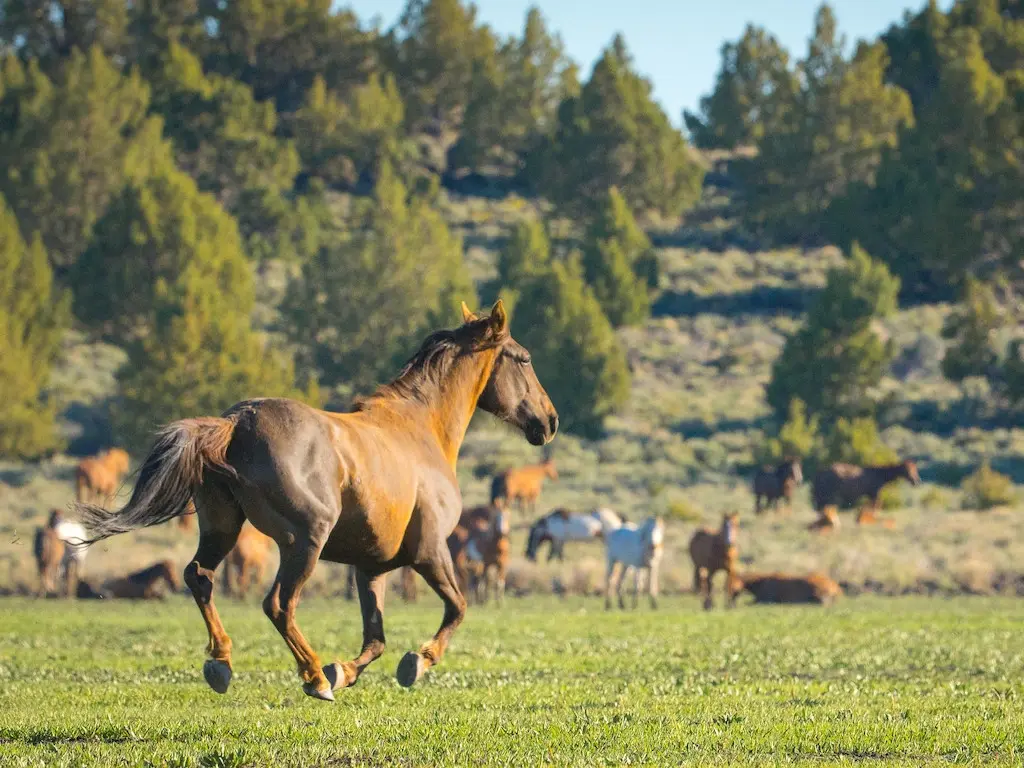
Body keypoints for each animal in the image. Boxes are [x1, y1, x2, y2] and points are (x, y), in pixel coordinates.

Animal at [77, 301, 561, 704]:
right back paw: (312, 676)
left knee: (199, 576)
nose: (550, 421)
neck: (419, 430)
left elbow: (375, 639)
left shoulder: (371, 567)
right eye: (524, 358)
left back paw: (222, 663)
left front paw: (344, 671)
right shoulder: (430, 550)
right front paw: (416, 662)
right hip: (305, 540)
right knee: (277, 604)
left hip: (222, 527)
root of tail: (236, 423)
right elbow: (457, 608)